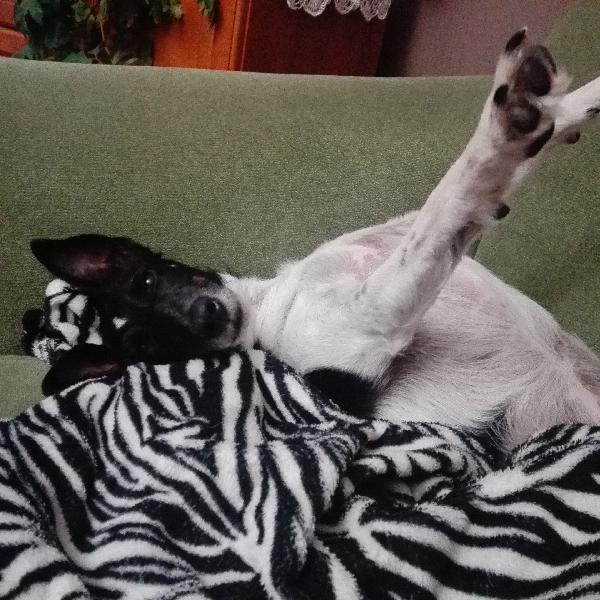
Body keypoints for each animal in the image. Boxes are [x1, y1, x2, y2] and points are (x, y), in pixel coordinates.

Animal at [29, 31, 600, 450]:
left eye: (147, 280)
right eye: (143, 348)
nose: (204, 316)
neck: (267, 302)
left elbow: (508, 161)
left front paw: (567, 99)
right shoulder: (372, 322)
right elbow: (452, 198)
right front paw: (503, 130)